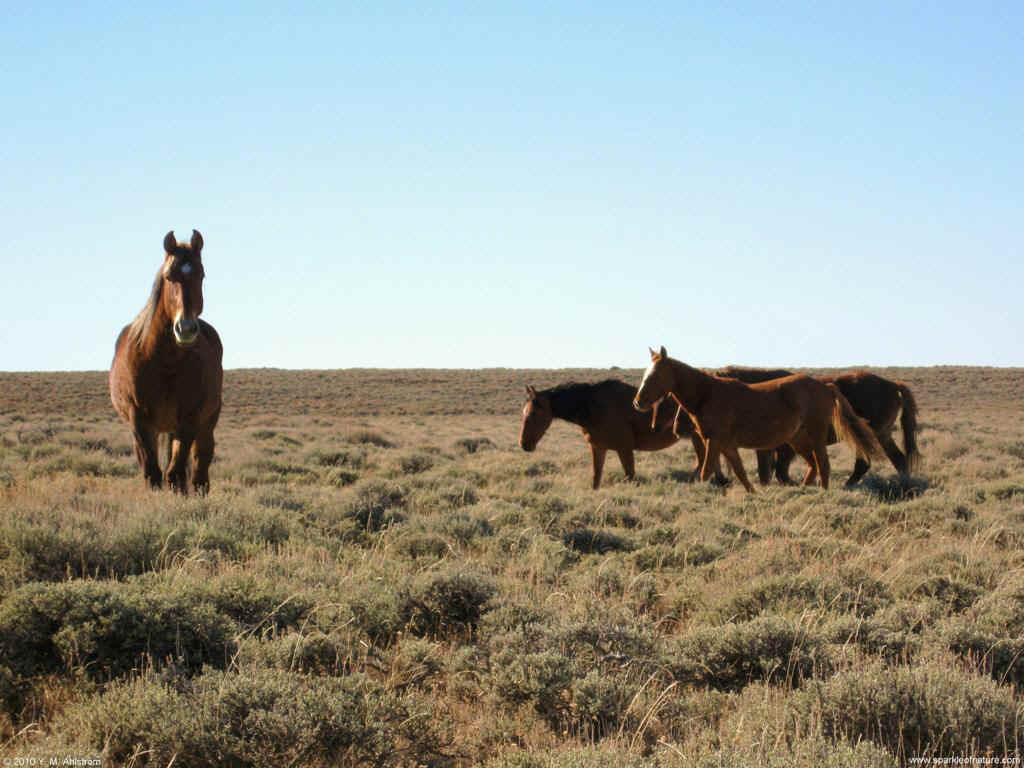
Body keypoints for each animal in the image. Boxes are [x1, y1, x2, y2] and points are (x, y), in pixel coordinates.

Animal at [109, 230, 223, 493]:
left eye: (201, 275)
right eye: (169, 276)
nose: (186, 328)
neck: (163, 361)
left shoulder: (190, 417)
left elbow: (175, 472)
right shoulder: (139, 419)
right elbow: (152, 474)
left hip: (205, 423)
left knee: (199, 471)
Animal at [520, 382, 704, 489]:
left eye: (534, 413)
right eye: (524, 413)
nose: (524, 444)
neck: (593, 406)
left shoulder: (625, 449)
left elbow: (630, 477)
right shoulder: (598, 447)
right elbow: (596, 478)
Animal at [630, 348, 880, 493]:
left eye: (655, 375)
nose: (638, 402)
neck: (708, 394)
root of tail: (826, 387)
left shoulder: (714, 441)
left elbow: (706, 471)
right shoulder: (727, 445)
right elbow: (740, 472)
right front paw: (753, 493)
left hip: (815, 436)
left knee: (823, 465)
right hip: (797, 440)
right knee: (813, 465)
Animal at [712, 368, 921, 487]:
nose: (722, 481)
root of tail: (893, 385)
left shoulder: (780, 446)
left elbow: (776, 470)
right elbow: (772, 470)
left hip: (871, 435)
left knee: (865, 462)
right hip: (882, 435)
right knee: (898, 459)